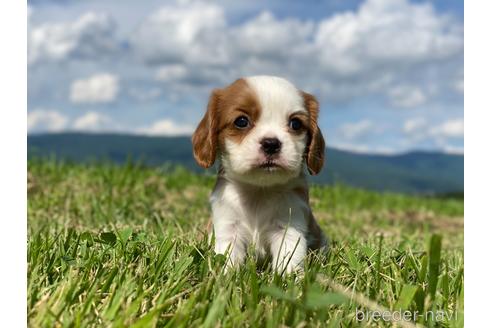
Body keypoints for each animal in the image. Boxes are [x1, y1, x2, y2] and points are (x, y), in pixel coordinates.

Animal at [192, 75, 326, 272]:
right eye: (241, 121)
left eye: (295, 124)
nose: (271, 143)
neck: (259, 190)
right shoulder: (228, 224)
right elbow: (228, 256)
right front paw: (225, 276)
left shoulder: (289, 225)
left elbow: (289, 259)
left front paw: (290, 279)